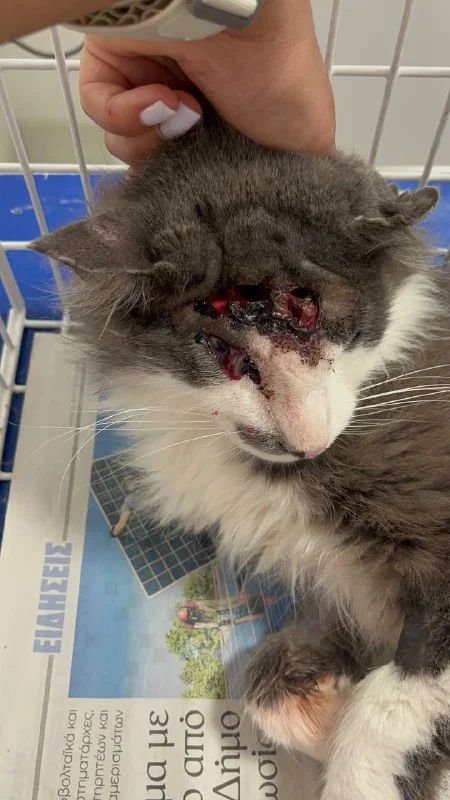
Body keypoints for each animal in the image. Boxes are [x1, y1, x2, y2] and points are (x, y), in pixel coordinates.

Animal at [32, 111, 450, 800]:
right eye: (223, 352)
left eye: (328, 322)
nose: (307, 441)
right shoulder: (336, 591)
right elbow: (261, 682)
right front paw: (324, 709)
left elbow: (377, 726)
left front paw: (349, 739)